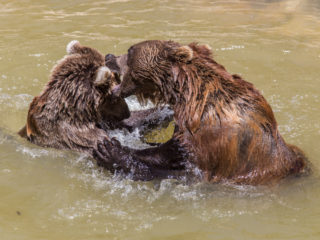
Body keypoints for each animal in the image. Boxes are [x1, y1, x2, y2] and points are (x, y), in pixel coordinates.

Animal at [18, 40, 172, 163]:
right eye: (115, 96)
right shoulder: (79, 137)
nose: (126, 113)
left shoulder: (106, 121)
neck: (80, 115)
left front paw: (165, 111)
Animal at [94, 40, 308, 185]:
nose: (109, 56)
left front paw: (109, 150)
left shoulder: (212, 142)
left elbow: (175, 164)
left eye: (130, 51)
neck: (189, 95)